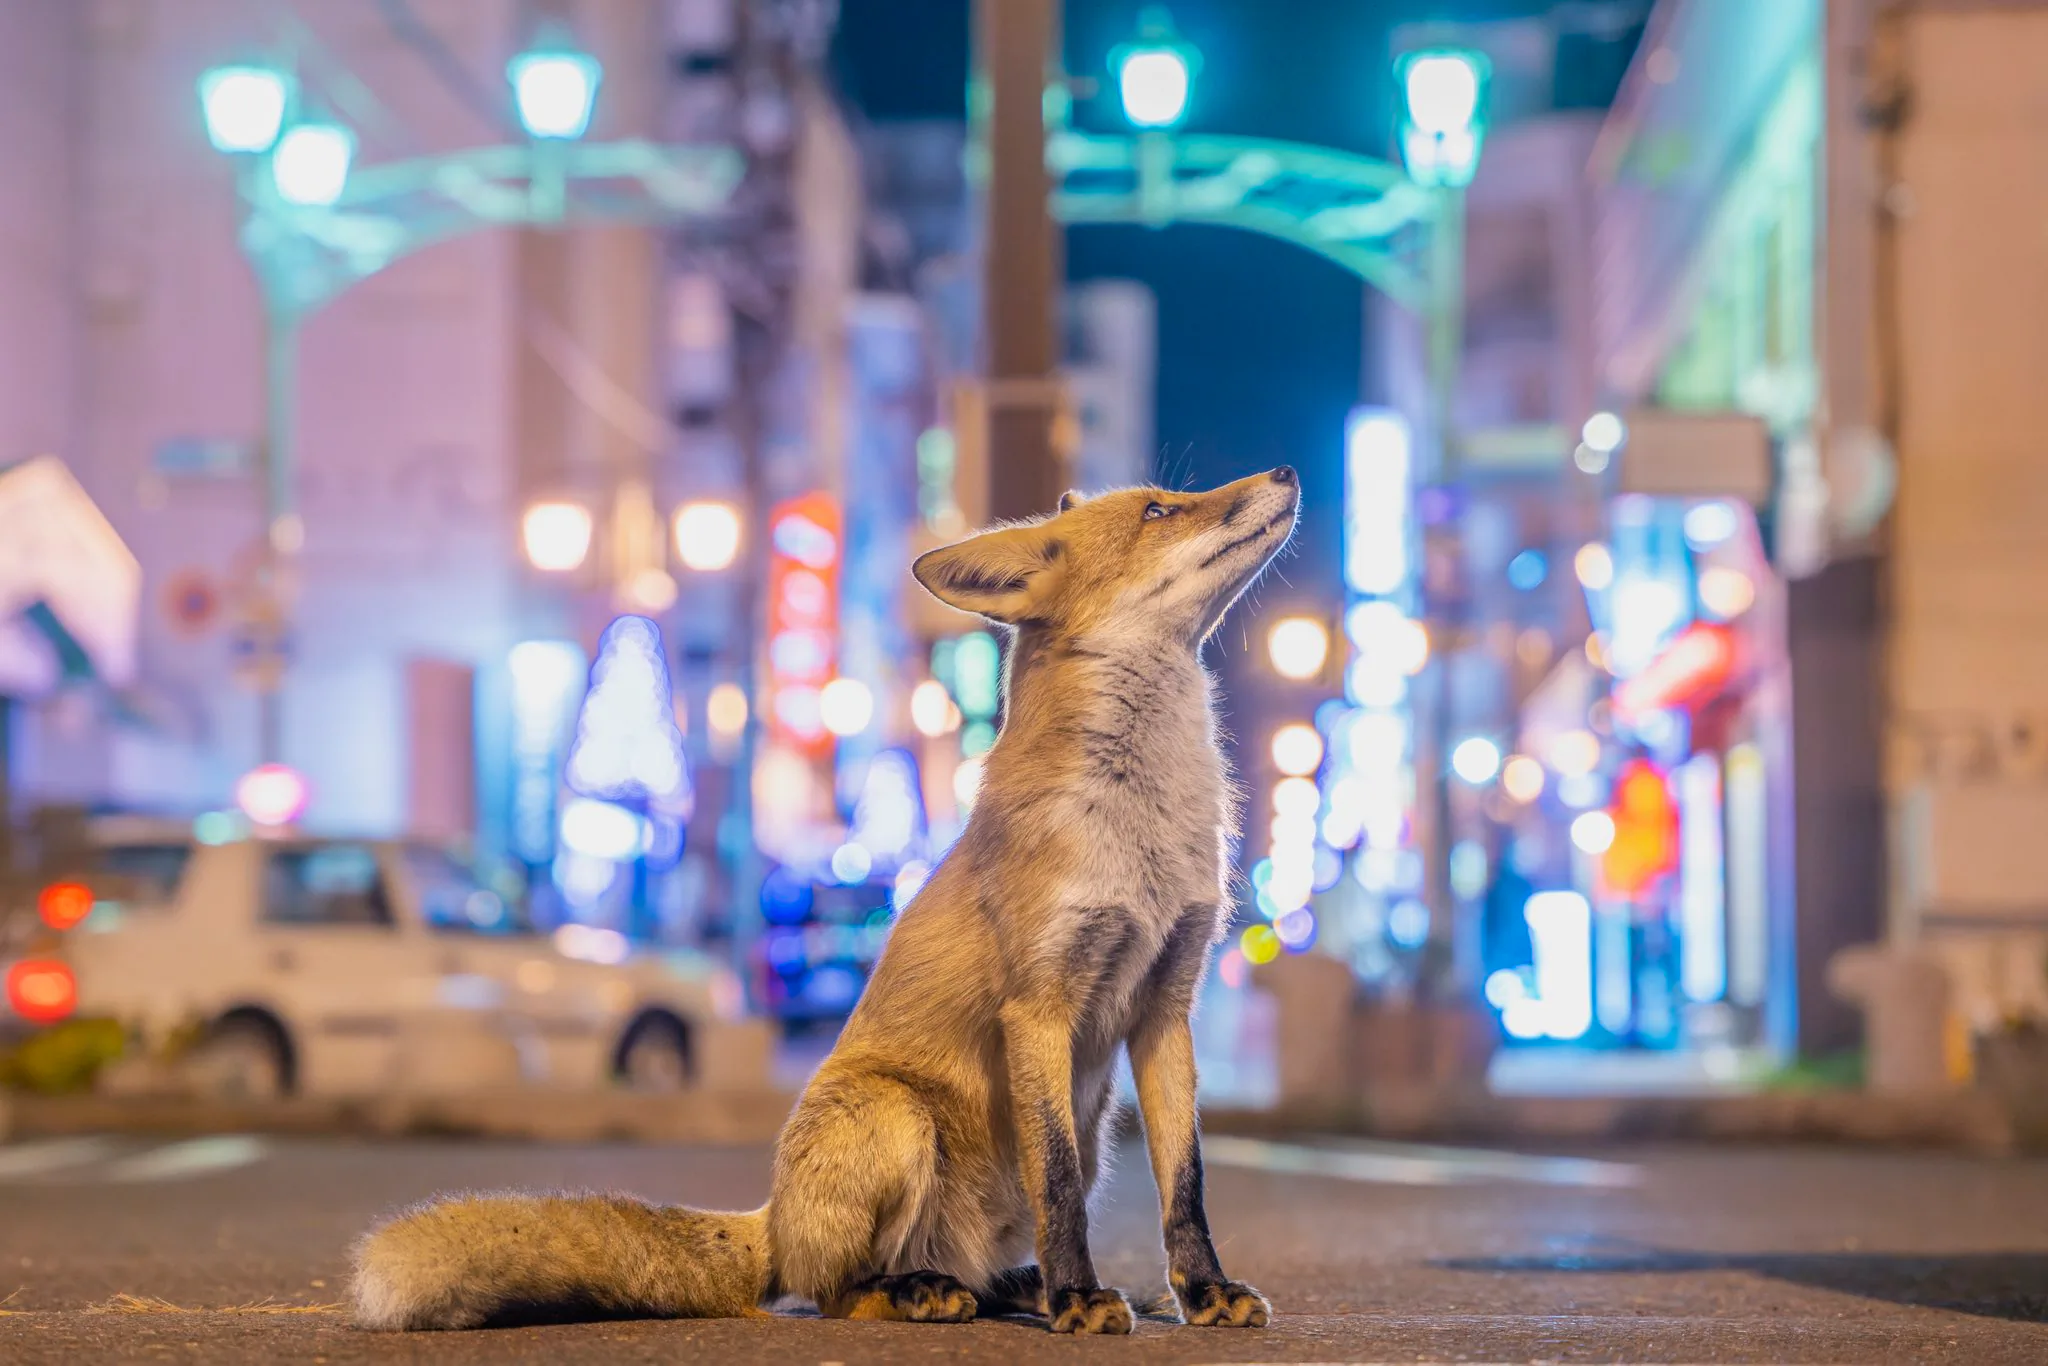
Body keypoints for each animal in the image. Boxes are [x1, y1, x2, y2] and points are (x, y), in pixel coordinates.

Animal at [350, 466, 1300, 1334]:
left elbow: (1186, 1185)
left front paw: (1202, 1292)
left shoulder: (1165, 1008)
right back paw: (925, 1292)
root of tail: (773, 1220)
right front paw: (1079, 1298)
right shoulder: (1040, 1008)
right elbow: (1059, 1185)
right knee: (835, 1290)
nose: (1286, 473)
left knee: (972, 1270)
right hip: (897, 1117)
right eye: (1159, 510)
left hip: (1087, 1126)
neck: (1143, 829)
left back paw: (1014, 1286)